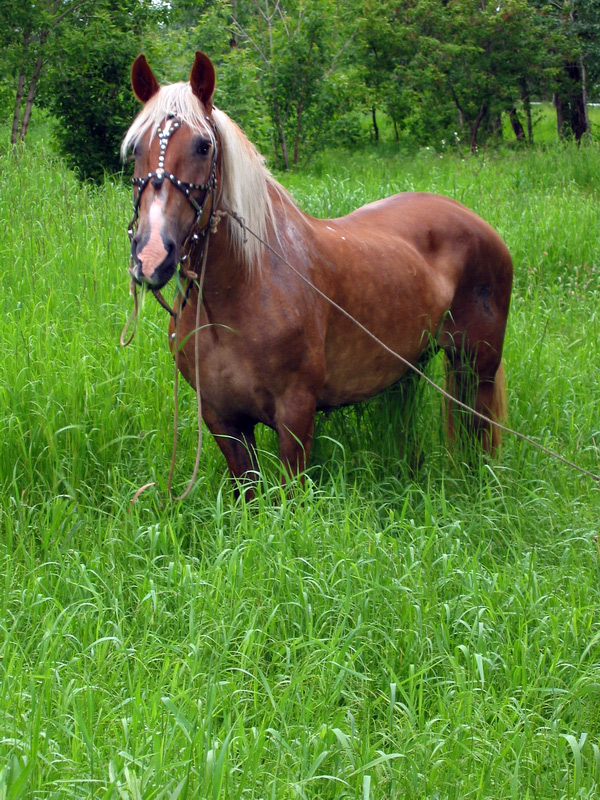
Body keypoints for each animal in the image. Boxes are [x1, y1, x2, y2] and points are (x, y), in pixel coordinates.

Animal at [122, 51, 510, 494]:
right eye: (135, 148)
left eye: (204, 146)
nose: (152, 255)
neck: (243, 292)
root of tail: (476, 222)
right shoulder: (223, 420)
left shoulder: (294, 414)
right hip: (412, 367)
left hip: (478, 368)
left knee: (479, 436)